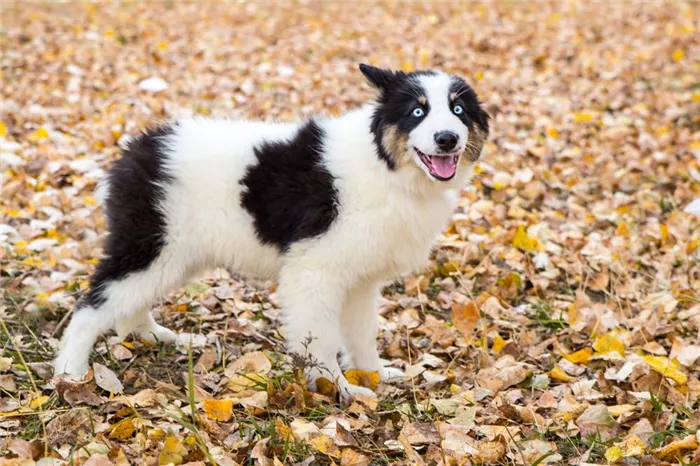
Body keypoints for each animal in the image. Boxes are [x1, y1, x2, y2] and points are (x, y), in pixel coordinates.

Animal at [52, 63, 490, 402]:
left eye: (457, 110)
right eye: (417, 112)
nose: (447, 139)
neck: (386, 166)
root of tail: (134, 152)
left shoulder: (360, 279)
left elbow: (363, 332)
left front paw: (375, 374)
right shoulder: (314, 271)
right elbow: (322, 339)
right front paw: (337, 390)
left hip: (173, 255)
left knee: (127, 303)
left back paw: (154, 336)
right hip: (152, 244)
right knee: (92, 305)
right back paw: (70, 373)